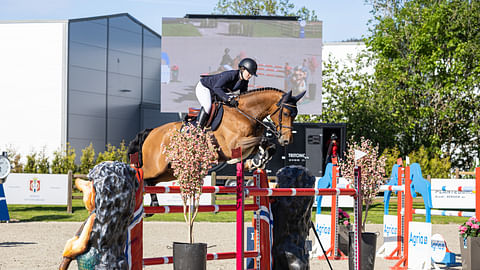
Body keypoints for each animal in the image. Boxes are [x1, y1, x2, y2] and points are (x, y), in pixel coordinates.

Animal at [127, 87, 306, 206]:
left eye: (295, 114)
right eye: (286, 113)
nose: (287, 140)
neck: (246, 113)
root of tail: (151, 132)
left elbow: (267, 145)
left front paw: (256, 162)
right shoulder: (232, 144)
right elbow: (259, 141)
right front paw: (252, 161)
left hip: (168, 171)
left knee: (151, 181)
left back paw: (154, 205)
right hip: (156, 166)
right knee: (142, 174)